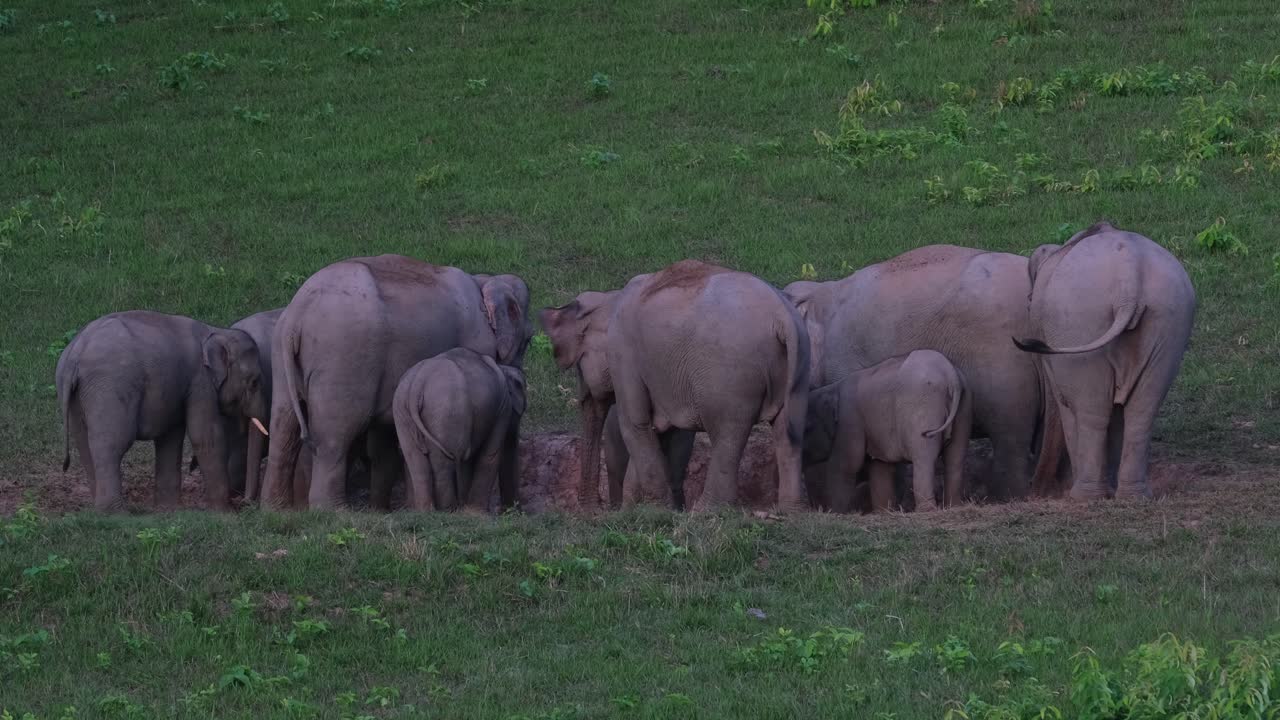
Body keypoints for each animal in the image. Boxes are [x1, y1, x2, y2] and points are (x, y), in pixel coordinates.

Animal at [55, 311, 268, 512]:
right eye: (254, 382)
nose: (244, 505)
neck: (218, 331)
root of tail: (75, 353)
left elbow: (170, 436)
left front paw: (169, 510)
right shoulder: (201, 381)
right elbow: (206, 436)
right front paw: (224, 512)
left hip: (77, 396)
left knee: (85, 445)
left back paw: (99, 510)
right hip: (109, 387)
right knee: (111, 444)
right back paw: (115, 513)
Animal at [392, 348, 527, 511]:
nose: (514, 509)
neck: (503, 368)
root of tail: (418, 383)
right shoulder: (503, 407)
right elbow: (490, 455)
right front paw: (476, 512)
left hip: (402, 410)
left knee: (415, 460)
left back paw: (425, 510)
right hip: (446, 409)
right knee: (444, 463)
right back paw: (447, 509)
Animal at [606, 259, 810, 511]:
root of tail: (782, 315)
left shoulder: (622, 351)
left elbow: (635, 423)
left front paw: (654, 509)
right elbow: (661, 430)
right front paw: (642, 507)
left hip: (728, 374)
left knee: (727, 431)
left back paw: (706, 509)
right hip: (799, 365)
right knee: (789, 431)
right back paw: (790, 510)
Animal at [802, 350, 972, 512]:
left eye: (807, 429)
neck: (831, 388)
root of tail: (951, 375)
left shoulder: (849, 420)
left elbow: (846, 464)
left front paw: (835, 512)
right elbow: (880, 466)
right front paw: (883, 512)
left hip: (924, 408)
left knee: (924, 456)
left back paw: (926, 510)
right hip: (964, 409)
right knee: (956, 456)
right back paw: (954, 506)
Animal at [1014, 221, 1195, 500]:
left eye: (1029, 301)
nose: (1037, 490)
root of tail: (1129, 278)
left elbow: (1066, 402)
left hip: (1082, 321)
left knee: (1092, 410)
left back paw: (1084, 496)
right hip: (1169, 319)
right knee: (1141, 410)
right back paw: (1133, 496)